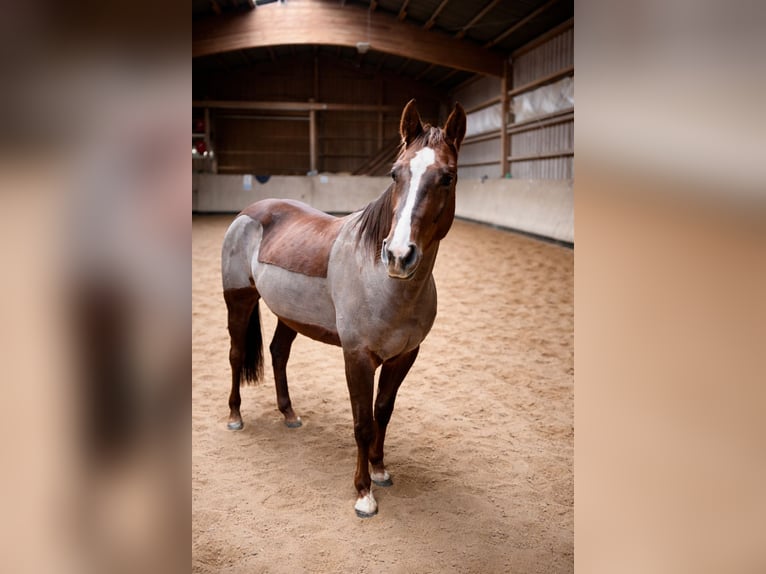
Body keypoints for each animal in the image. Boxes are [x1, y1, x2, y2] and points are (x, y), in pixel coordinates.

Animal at [221, 99, 466, 517]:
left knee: (278, 353)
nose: (398, 255)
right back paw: (236, 417)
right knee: (238, 355)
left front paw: (380, 470)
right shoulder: (358, 357)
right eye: (395, 173)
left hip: (289, 316)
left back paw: (290, 415)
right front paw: (363, 493)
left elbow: (383, 411)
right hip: (239, 300)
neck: (385, 283)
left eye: (447, 177)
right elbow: (362, 423)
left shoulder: (405, 356)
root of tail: (248, 212)